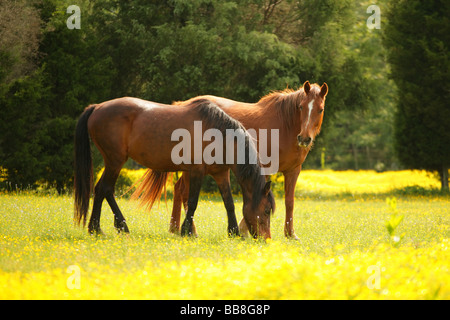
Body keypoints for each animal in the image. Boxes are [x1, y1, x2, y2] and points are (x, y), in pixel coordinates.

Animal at [73, 99, 274, 239]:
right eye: (266, 211)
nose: (266, 239)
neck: (218, 134)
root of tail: (97, 107)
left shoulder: (221, 173)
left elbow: (229, 203)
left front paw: (234, 232)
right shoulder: (196, 171)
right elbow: (192, 202)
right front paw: (187, 231)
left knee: (101, 190)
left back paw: (98, 228)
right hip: (115, 161)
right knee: (105, 189)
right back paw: (113, 227)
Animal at [169, 81, 326, 239]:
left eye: (320, 110)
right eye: (301, 106)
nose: (304, 138)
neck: (284, 127)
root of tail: (181, 105)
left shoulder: (293, 170)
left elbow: (289, 201)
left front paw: (290, 234)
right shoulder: (264, 168)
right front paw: (244, 230)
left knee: (178, 188)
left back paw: (174, 228)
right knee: (184, 192)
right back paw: (191, 231)